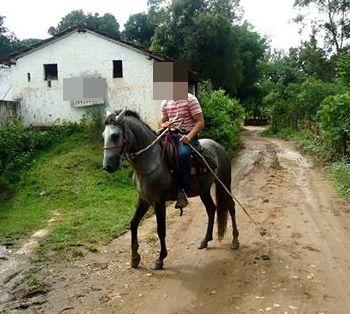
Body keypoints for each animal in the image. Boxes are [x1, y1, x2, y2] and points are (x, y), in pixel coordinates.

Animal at [101, 108, 238, 270]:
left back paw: (235, 240)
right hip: (203, 190)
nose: (107, 166)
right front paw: (135, 257)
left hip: (224, 183)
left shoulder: (159, 202)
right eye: (103, 135)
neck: (150, 161)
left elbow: (161, 230)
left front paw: (160, 259)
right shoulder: (144, 199)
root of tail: (218, 146)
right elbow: (133, 223)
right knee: (211, 209)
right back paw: (205, 240)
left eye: (115, 135)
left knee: (231, 206)